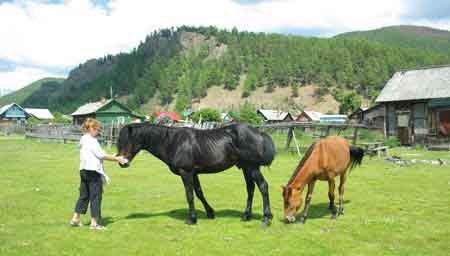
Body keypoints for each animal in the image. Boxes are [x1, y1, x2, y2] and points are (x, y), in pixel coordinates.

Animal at [116, 123, 276, 225]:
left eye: (127, 140)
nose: (122, 163)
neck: (173, 142)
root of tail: (259, 133)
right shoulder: (194, 173)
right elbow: (199, 193)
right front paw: (210, 213)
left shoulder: (186, 172)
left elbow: (190, 195)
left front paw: (191, 219)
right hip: (246, 167)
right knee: (250, 189)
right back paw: (246, 216)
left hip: (252, 167)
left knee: (263, 186)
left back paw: (266, 218)